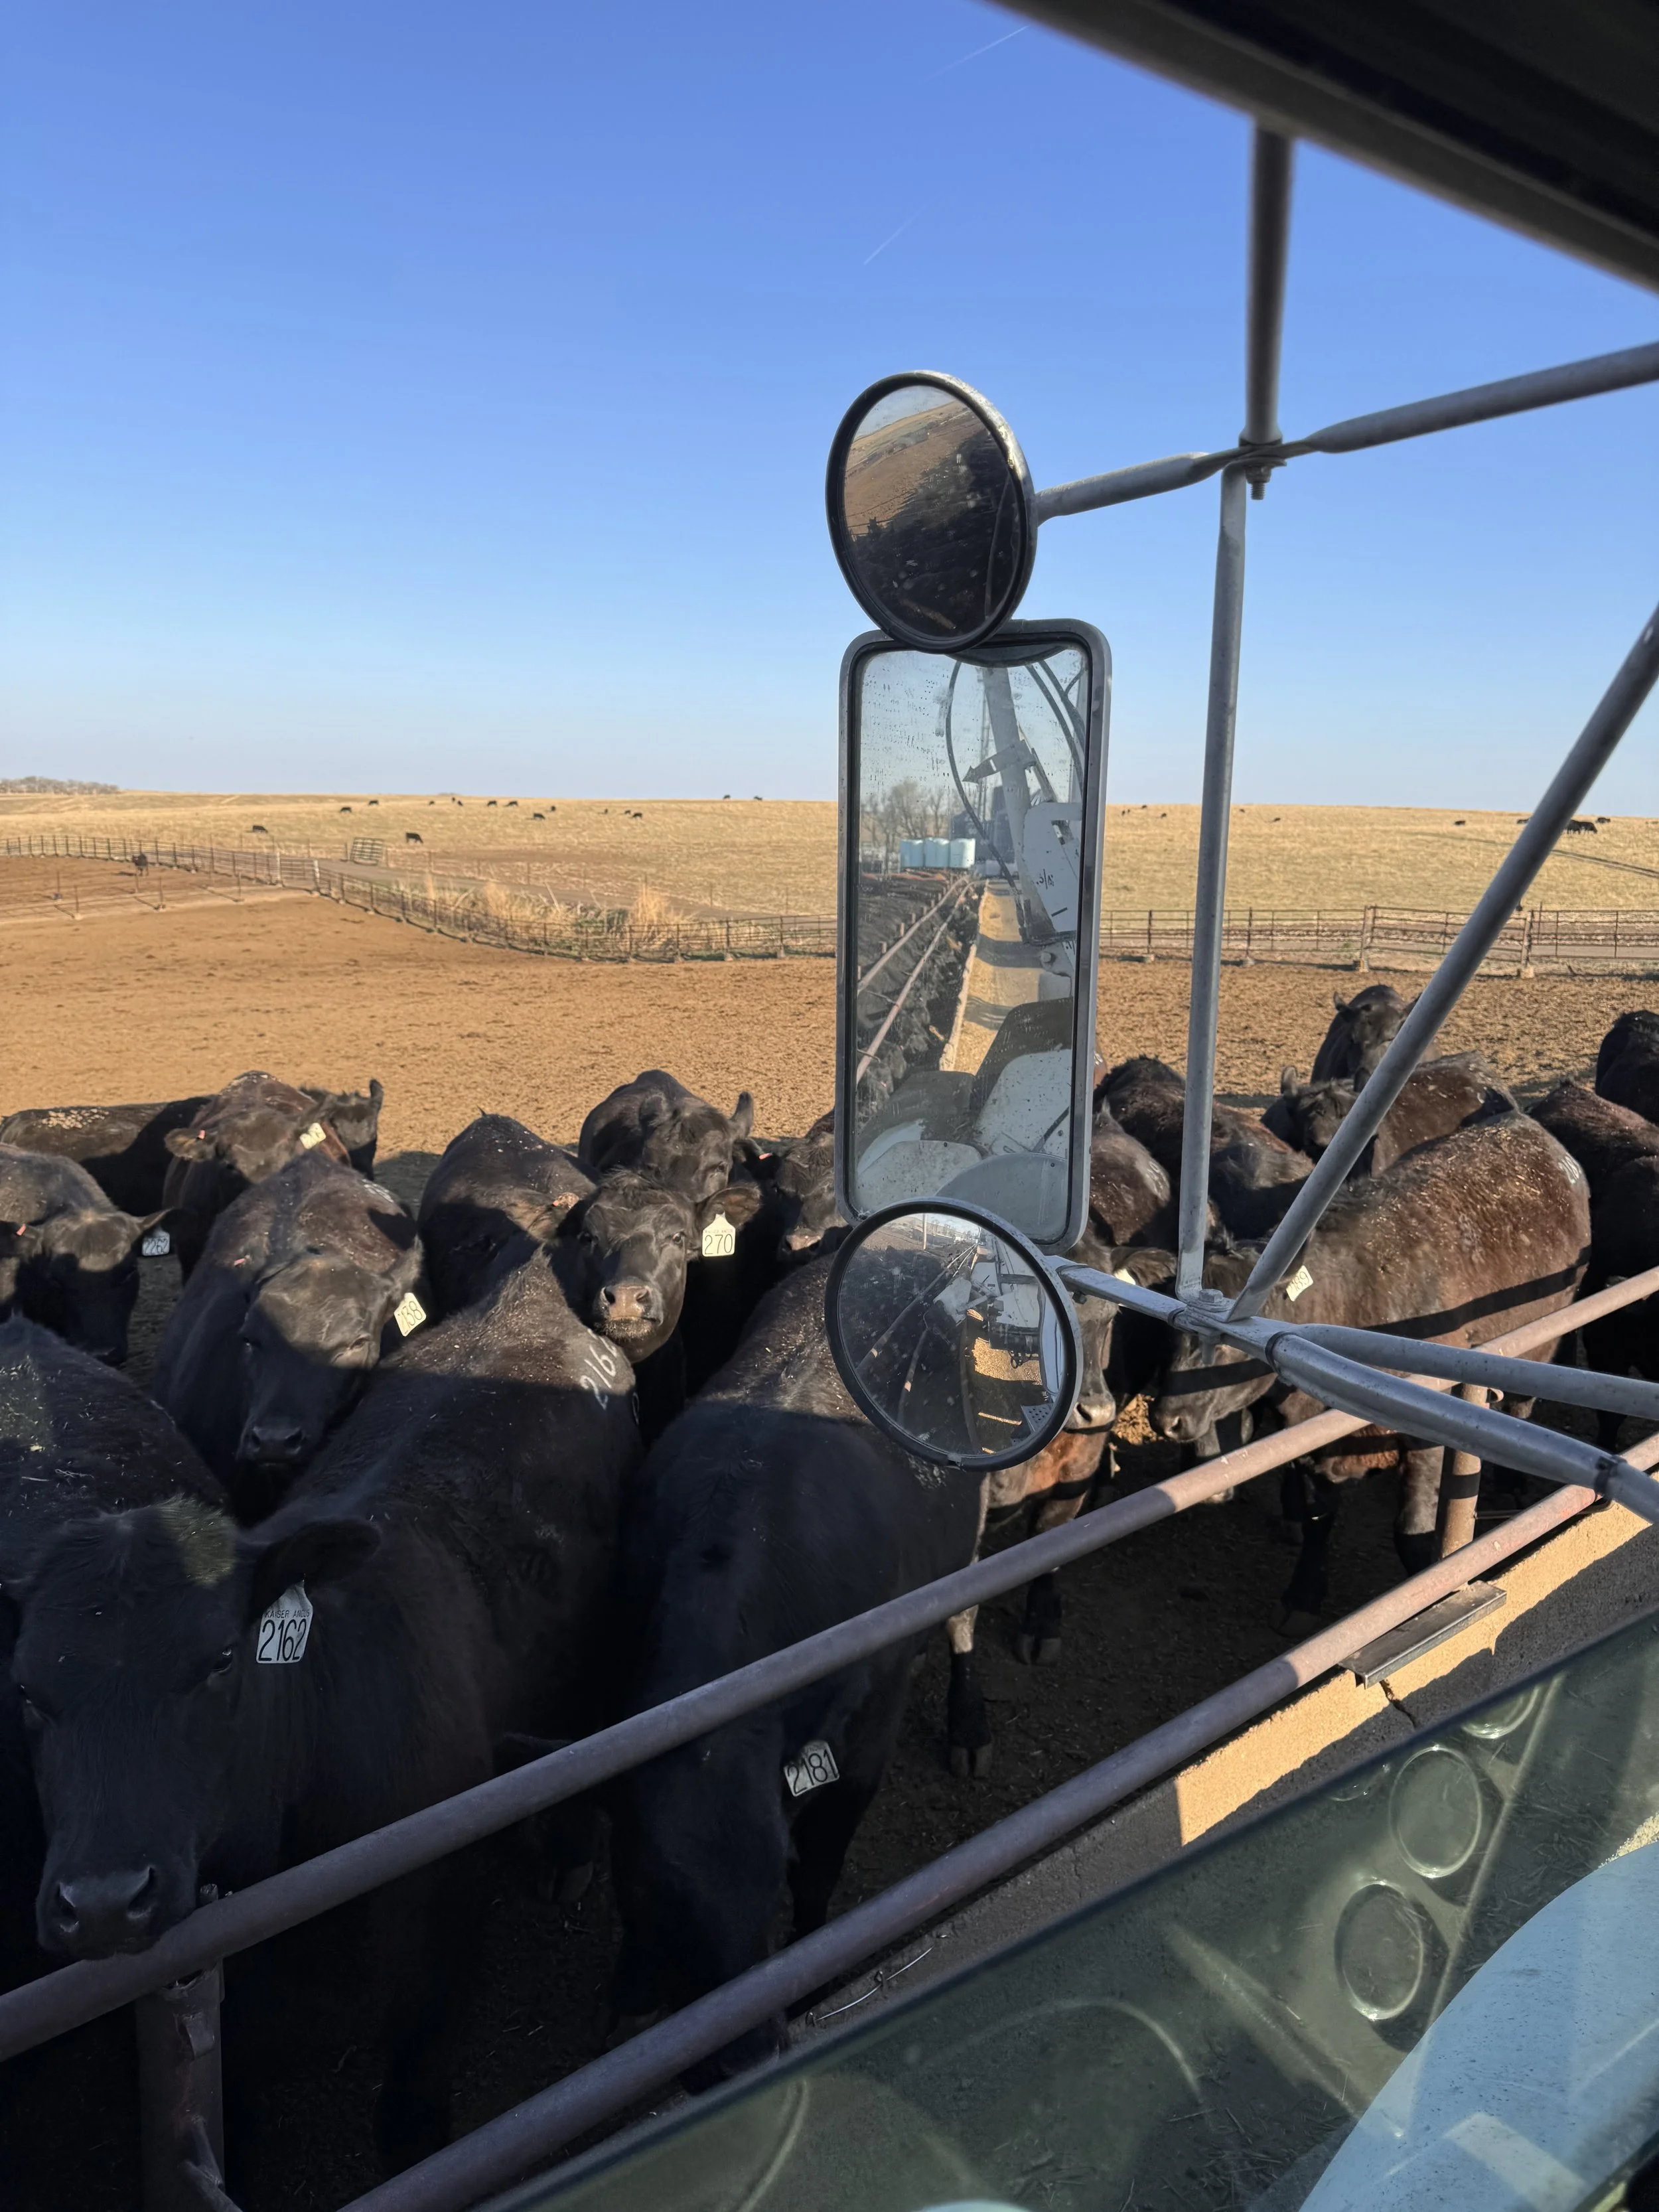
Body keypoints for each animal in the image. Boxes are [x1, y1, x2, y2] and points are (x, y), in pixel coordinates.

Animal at [609, 1258, 984, 2082]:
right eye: (649, 1892)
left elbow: (822, 1869)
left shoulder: (866, 1738)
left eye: (770, 1879)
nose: (742, 2061)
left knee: (965, 1618)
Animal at [1148, 1114, 1589, 1616]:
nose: (1166, 1419)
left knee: (1520, 1405)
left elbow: (1412, 1533)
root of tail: (1523, 1124)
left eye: (1226, 1341)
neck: (1354, 1298)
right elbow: (1319, 1520)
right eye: (1171, 1327)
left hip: (1542, 1341)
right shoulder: (1308, 1446)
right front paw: (1305, 1591)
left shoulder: (1427, 1438)